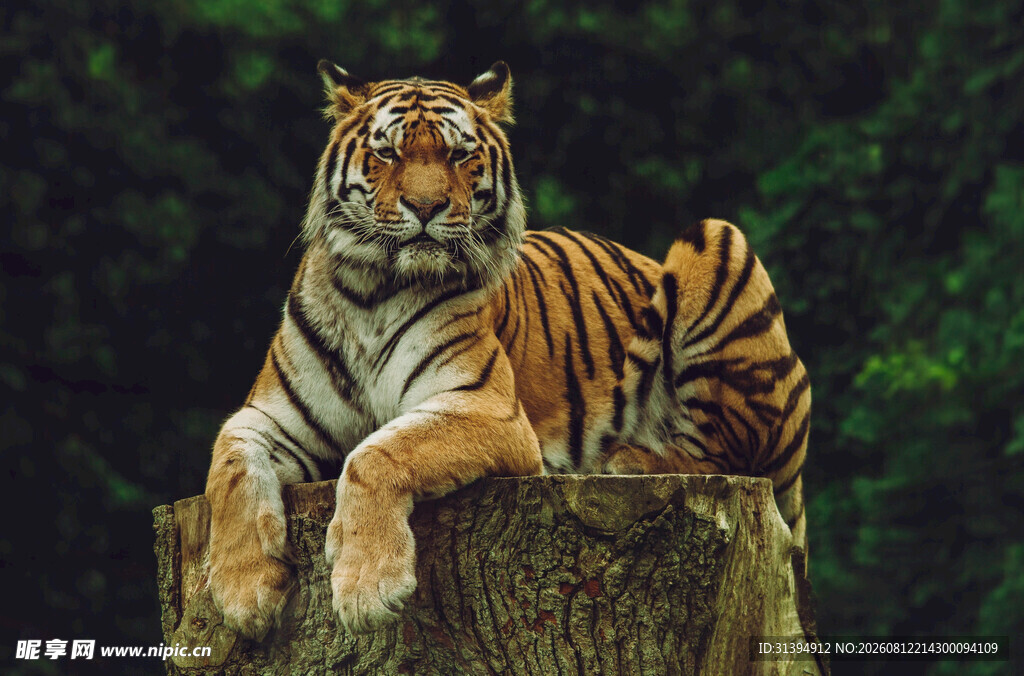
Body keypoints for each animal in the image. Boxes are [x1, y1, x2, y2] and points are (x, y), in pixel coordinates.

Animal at [204, 60, 811, 640]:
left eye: (459, 154)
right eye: (387, 152)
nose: (425, 205)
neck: (371, 292)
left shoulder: (486, 407)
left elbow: (376, 453)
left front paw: (366, 588)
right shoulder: (269, 417)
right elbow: (228, 470)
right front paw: (243, 594)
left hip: (718, 240)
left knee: (727, 453)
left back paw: (627, 459)